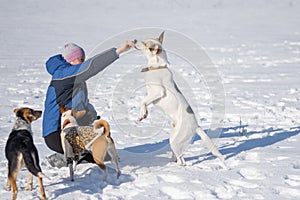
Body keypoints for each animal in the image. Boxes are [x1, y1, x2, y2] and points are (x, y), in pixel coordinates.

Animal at [135, 32, 224, 165]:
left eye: (146, 44)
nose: (134, 40)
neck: (157, 67)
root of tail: (196, 126)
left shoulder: (158, 92)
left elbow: (143, 102)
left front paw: (143, 114)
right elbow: (144, 101)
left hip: (175, 140)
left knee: (182, 161)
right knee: (179, 156)